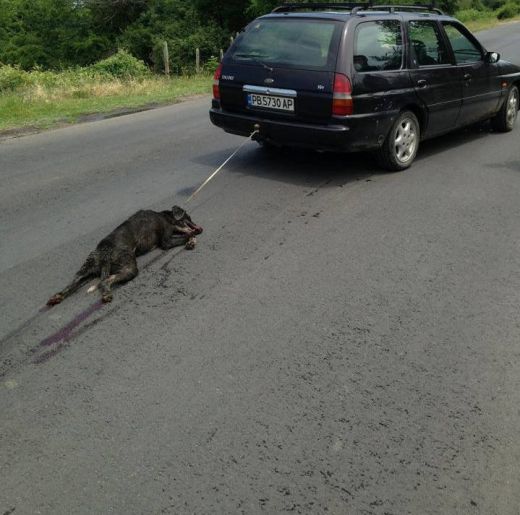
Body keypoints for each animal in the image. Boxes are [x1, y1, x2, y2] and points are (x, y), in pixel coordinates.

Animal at [47, 207, 201, 306]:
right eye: (189, 218)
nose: (201, 228)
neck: (166, 216)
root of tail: (105, 252)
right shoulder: (166, 241)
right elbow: (188, 234)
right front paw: (192, 240)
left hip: (85, 270)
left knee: (72, 284)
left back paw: (57, 297)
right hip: (129, 268)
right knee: (105, 281)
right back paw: (107, 295)